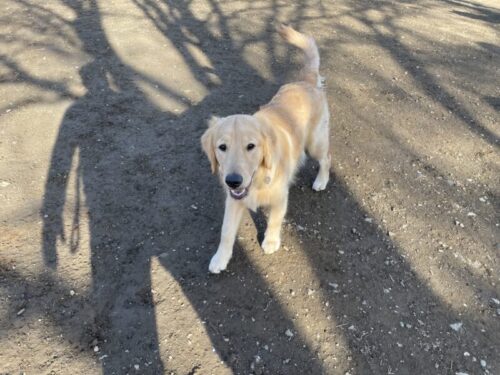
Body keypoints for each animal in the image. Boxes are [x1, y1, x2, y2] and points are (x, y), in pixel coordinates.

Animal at [201, 25, 330, 274]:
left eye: (251, 146)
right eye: (222, 147)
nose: (233, 181)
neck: (258, 179)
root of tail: (305, 80)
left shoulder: (279, 196)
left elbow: (275, 220)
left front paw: (270, 241)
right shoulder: (234, 200)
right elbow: (226, 231)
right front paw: (220, 258)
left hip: (315, 143)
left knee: (326, 158)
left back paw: (321, 181)